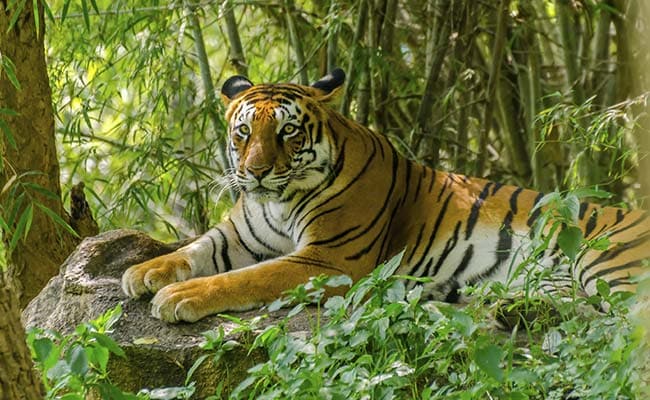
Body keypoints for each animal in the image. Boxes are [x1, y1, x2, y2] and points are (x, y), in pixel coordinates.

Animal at [121, 69, 648, 324]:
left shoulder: (328, 259)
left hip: (607, 261)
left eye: (288, 131)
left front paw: (178, 295)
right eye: (243, 132)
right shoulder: (238, 235)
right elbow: (193, 249)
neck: (279, 198)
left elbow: (246, 278)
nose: (255, 172)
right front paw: (142, 272)